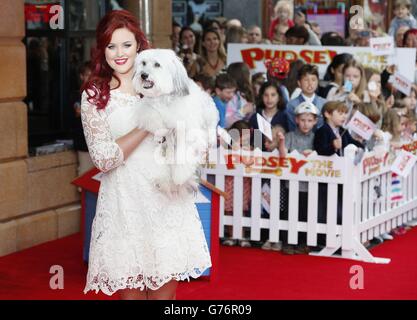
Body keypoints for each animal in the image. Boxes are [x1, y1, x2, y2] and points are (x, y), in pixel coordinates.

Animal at [132, 48, 218, 194]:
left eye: (157, 64)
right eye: (143, 63)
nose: (143, 75)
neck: (162, 98)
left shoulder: (188, 130)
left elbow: (184, 153)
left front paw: (180, 175)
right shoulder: (147, 108)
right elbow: (151, 116)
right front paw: (158, 127)